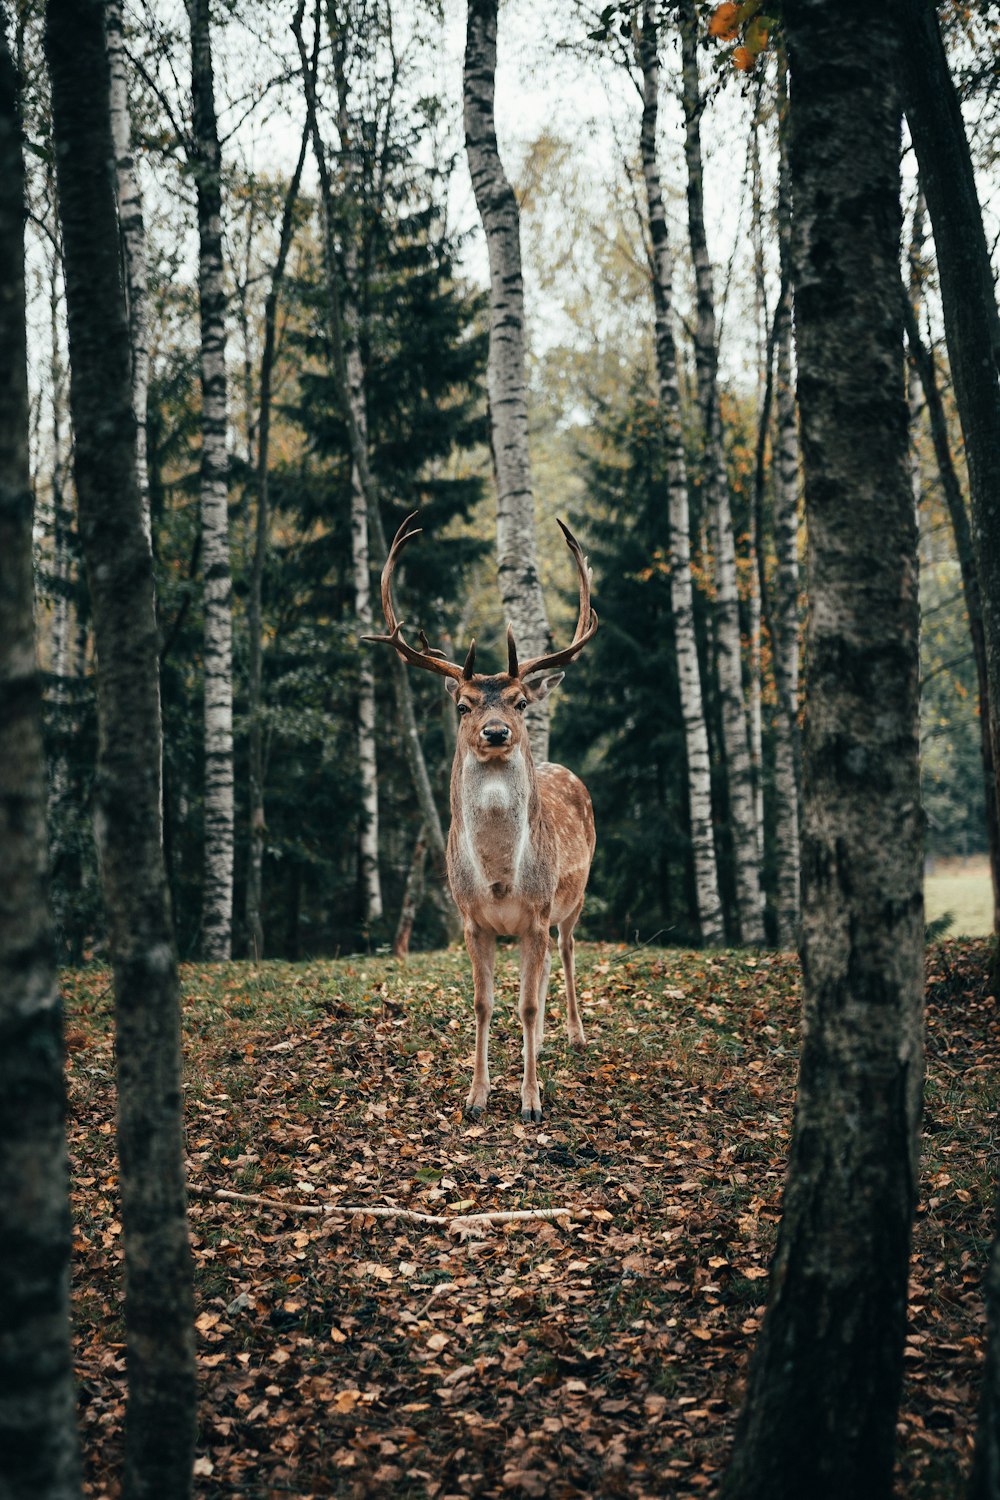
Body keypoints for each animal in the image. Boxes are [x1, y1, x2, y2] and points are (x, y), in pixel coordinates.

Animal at [371, 519, 599, 1128]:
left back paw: (573, 1035)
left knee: (566, 955)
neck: (498, 876)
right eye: (464, 705)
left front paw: (531, 1101)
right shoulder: (471, 919)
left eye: (519, 702)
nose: (495, 732)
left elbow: (527, 1004)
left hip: (573, 899)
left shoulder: (537, 912)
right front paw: (475, 1096)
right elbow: (484, 1003)